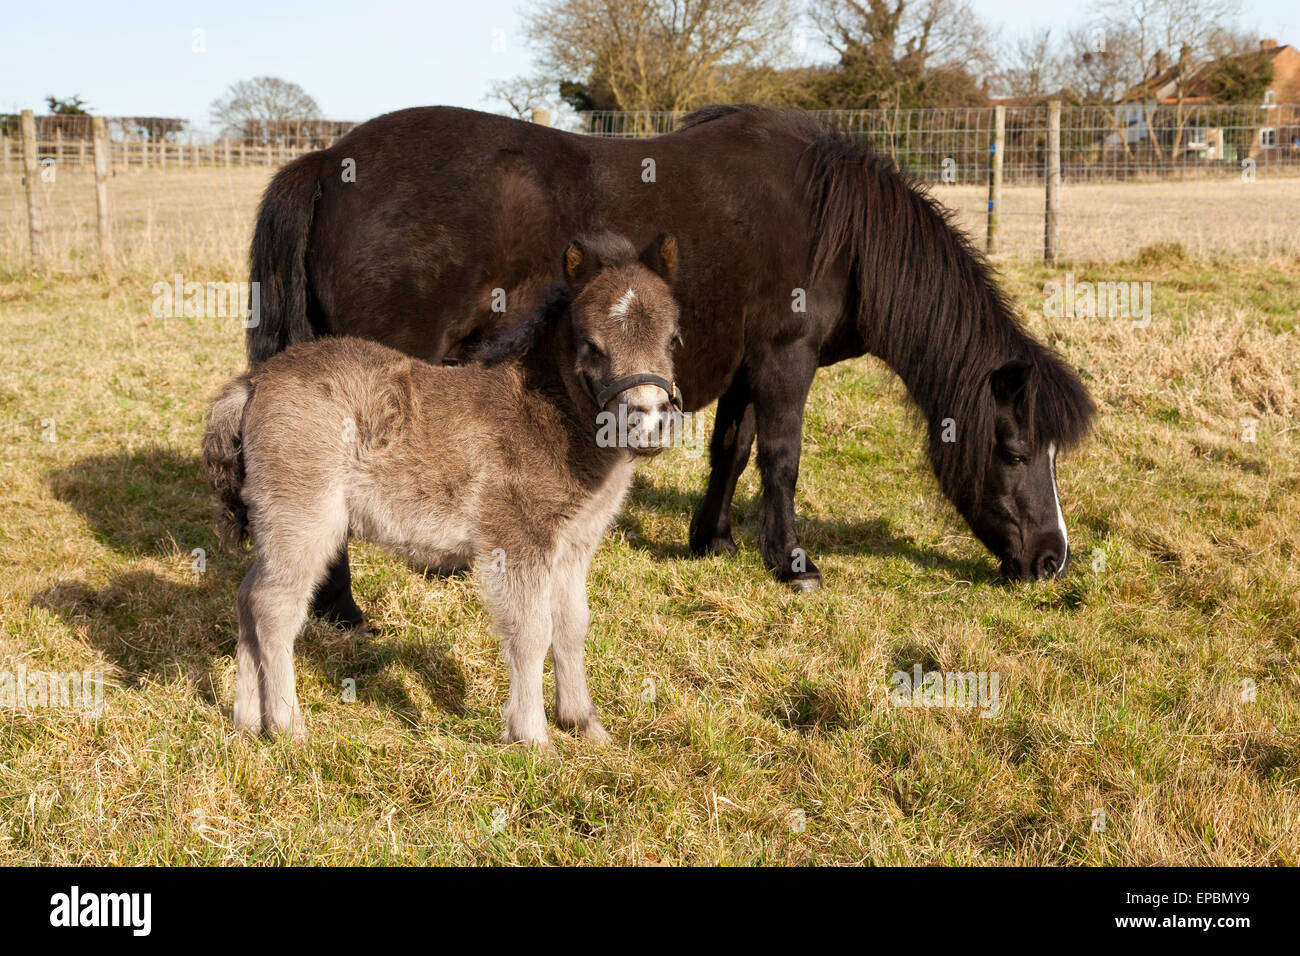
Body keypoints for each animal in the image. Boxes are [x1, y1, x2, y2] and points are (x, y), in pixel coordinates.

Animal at [200, 231, 681, 749]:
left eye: (674, 338)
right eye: (591, 345)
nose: (649, 425)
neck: (544, 414)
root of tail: (255, 381)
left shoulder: (574, 545)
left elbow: (572, 626)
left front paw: (584, 723)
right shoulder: (517, 541)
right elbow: (531, 632)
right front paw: (533, 739)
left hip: (277, 523)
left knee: (248, 596)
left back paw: (246, 722)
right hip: (302, 519)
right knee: (274, 607)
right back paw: (289, 728)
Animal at [245, 106, 1097, 629]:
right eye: (1015, 450)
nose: (1052, 561)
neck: (839, 230)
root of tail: (328, 161)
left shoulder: (749, 367)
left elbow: (733, 449)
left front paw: (712, 539)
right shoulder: (786, 360)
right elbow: (782, 458)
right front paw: (793, 564)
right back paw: (342, 609)